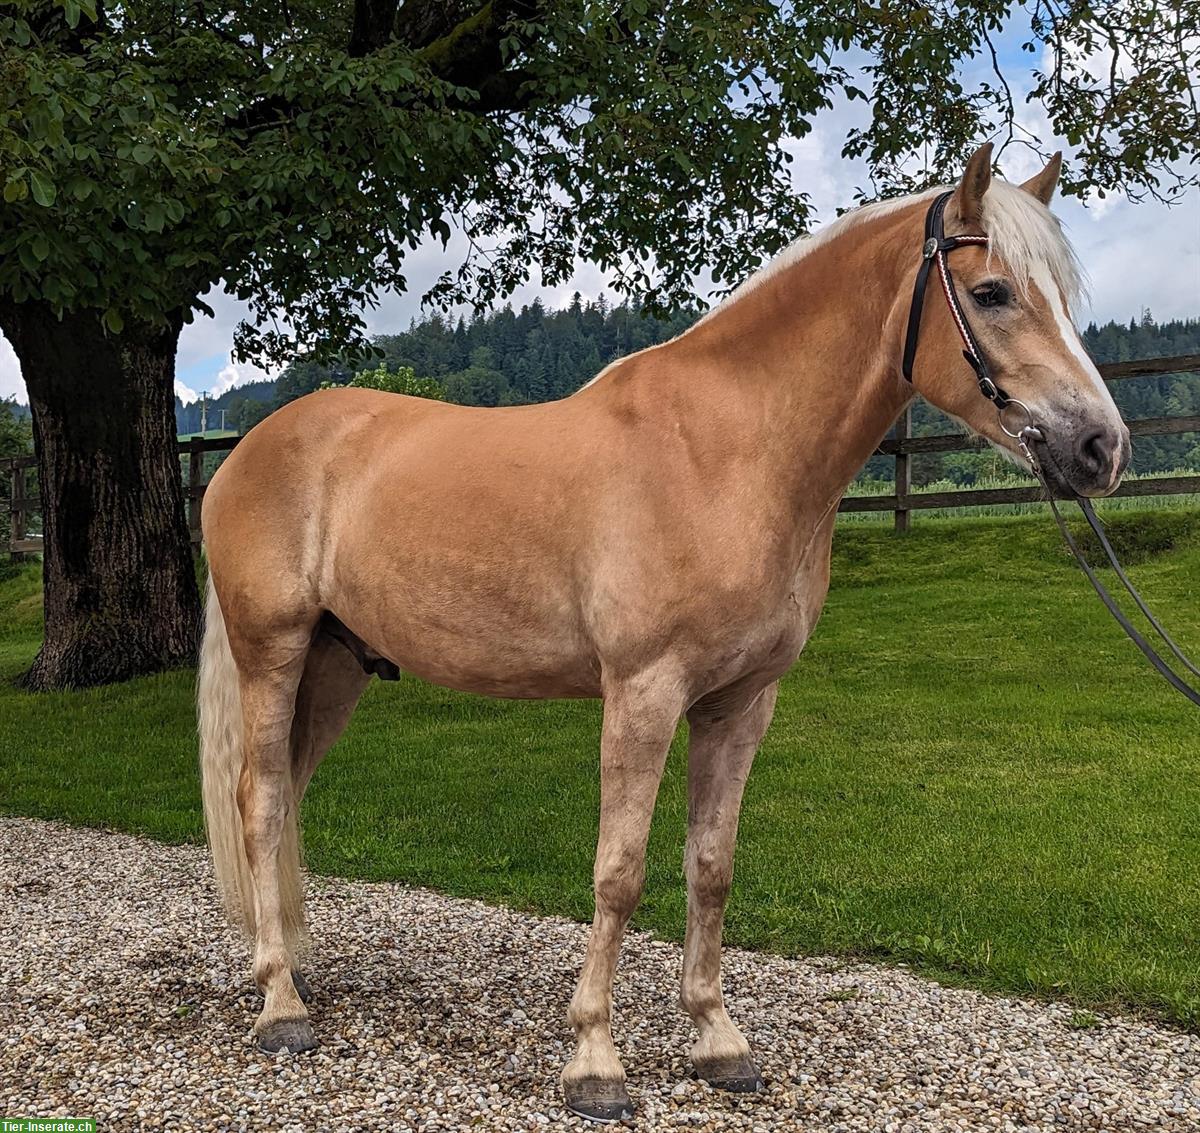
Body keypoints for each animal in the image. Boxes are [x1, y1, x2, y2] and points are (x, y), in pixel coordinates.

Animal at [196, 144, 1123, 1123]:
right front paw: (595, 1059)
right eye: (992, 292)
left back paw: (291, 968)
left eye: (1064, 296)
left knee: (287, 798)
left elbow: (710, 865)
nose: (1101, 448)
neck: (723, 451)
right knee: (261, 800)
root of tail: (248, 448)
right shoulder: (642, 692)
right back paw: (280, 1004)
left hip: (338, 666)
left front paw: (717, 1039)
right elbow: (621, 869)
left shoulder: (741, 703)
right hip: (275, 652)